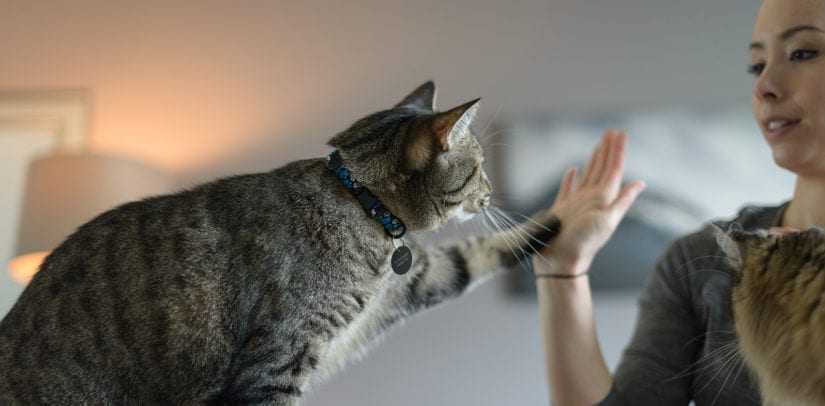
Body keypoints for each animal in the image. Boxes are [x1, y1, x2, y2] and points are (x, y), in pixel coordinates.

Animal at [0, 81, 560, 404]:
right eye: (480, 165)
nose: (491, 191)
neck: (360, 203)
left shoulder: (404, 286)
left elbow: (471, 256)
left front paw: (559, 218)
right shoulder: (276, 362)